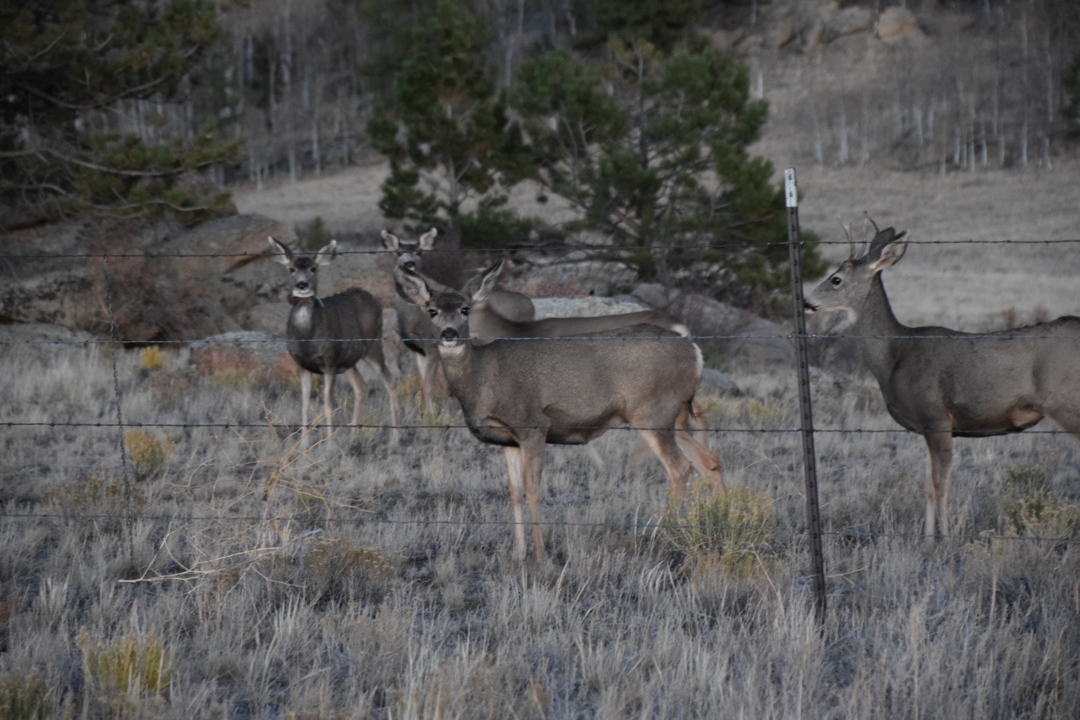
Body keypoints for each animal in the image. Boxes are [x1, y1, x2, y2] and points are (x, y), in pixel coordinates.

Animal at [268, 236, 401, 446]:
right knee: (361, 386)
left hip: (372, 344)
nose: (302, 285)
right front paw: (303, 444)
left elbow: (329, 404)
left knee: (390, 380)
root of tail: (372, 298)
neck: (308, 338)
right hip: (348, 359)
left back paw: (395, 438)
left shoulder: (329, 361)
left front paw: (329, 445)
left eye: (314, 268)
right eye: (291, 269)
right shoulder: (302, 364)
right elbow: (304, 403)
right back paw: (353, 436)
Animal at [382, 231, 537, 410]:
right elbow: (422, 382)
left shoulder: (432, 347)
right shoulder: (418, 350)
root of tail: (531, 305)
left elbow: (428, 386)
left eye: (419, 252)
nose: (409, 263)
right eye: (399, 252)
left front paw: (429, 413)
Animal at [393, 259, 721, 561]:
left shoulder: (533, 425)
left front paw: (540, 555)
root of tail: (694, 350)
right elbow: (513, 491)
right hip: (674, 415)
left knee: (679, 467)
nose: (449, 334)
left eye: (465, 310)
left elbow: (533, 489)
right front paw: (517, 554)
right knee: (707, 461)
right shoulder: (508, 439)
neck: (483, 378)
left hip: (651, 411)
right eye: (432, 311)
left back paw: (661, 534)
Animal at [807, 222, 1075, 537]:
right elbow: (926, 486)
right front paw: (926, 537)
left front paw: (946, 538)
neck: (893, 357)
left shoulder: (936, 417)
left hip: (1066, 404)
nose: (807, 301)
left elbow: (941, 485)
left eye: (836, 279)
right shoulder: (926, 424)